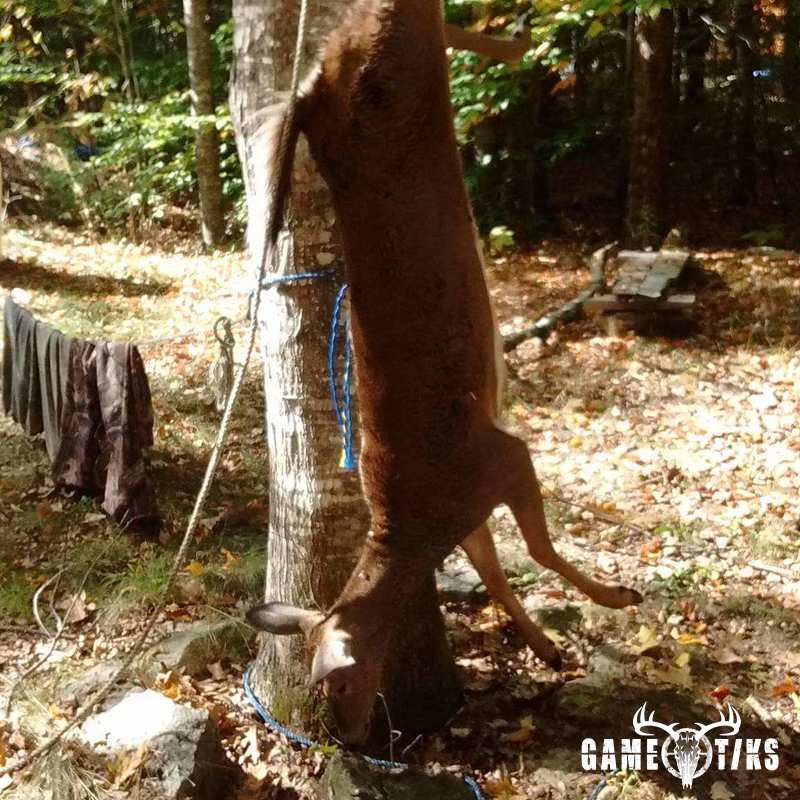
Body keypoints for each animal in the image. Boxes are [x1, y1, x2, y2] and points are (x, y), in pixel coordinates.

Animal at [247, 0, 642, 744]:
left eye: (338, 682)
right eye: (316, 685)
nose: (350, 737)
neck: (416, 525)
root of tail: (310, 91)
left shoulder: (501, 455)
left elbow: (539, 550)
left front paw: (619, 595)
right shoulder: (472, 508)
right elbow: (496, 572)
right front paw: (549, 650)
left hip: (393, 49)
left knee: (404, 15)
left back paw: (524, 43)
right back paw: (521, 42)